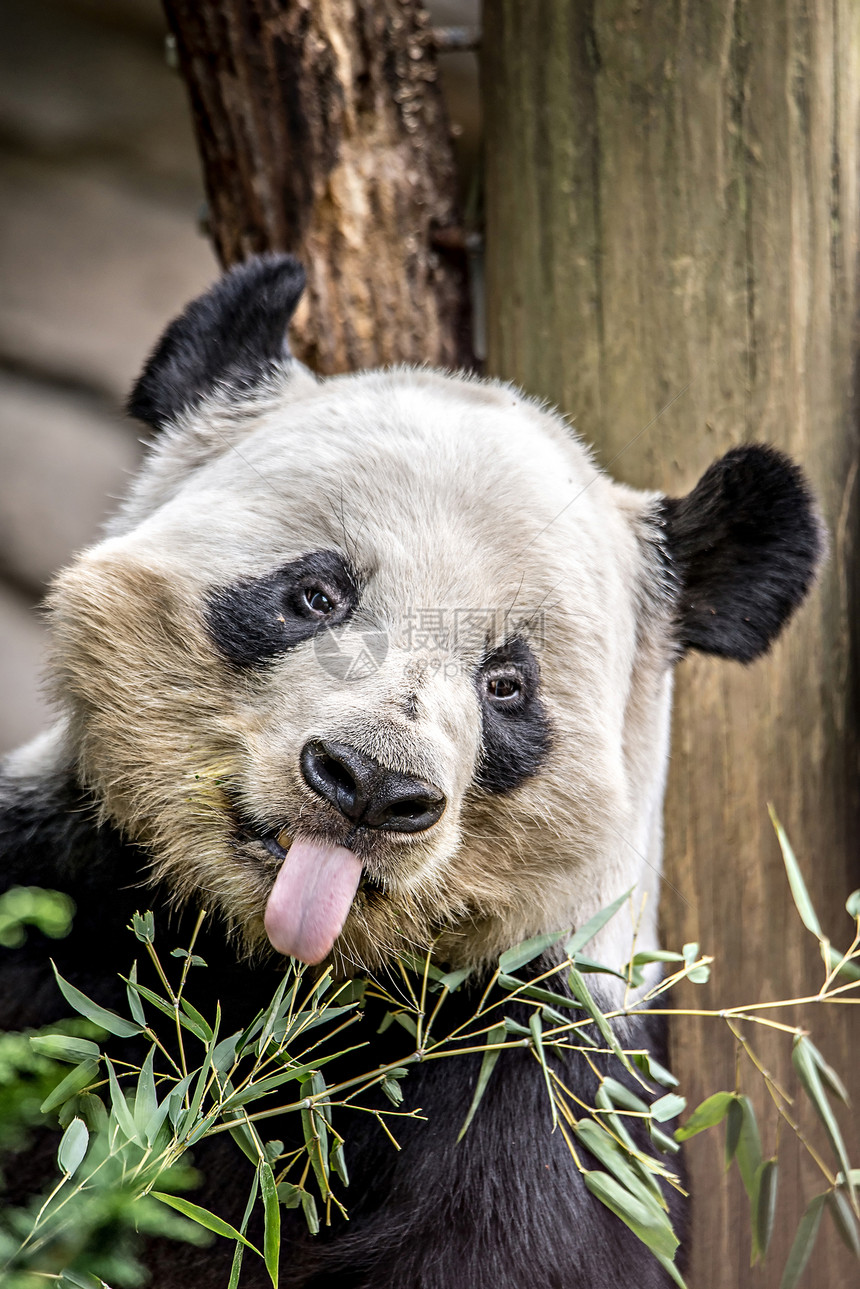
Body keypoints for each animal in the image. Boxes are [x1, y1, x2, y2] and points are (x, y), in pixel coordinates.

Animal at [0, 253, 825, 1289]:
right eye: (316, 592)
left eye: (508, 683)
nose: (367, 784)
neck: (285, 977)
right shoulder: (67, 887)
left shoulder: (538, 1068)